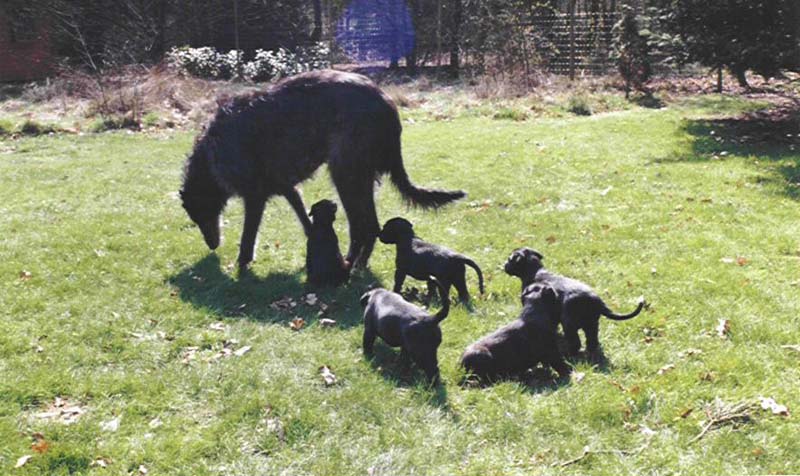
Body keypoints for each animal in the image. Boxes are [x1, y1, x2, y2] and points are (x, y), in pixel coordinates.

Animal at [180, 70, 465, 270]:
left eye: (199, 217)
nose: (212, 246)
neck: (208, 155)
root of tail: (388, 104)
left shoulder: (254, 195)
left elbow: (248, 236)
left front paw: (241, 263)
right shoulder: (286, 187)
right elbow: (303, 217)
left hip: (345, 173)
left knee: (364, 225)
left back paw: (353, 266)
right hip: (358, 177)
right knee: (365, 225)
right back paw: (354, 262)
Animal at [504, 247, 645, 356]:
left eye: (510, 259)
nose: (504, 265)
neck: (535, 271)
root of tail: (596, 301)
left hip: (569, 323)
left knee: (576, 342)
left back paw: (569, 354)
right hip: (592, 324)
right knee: (592, 341)